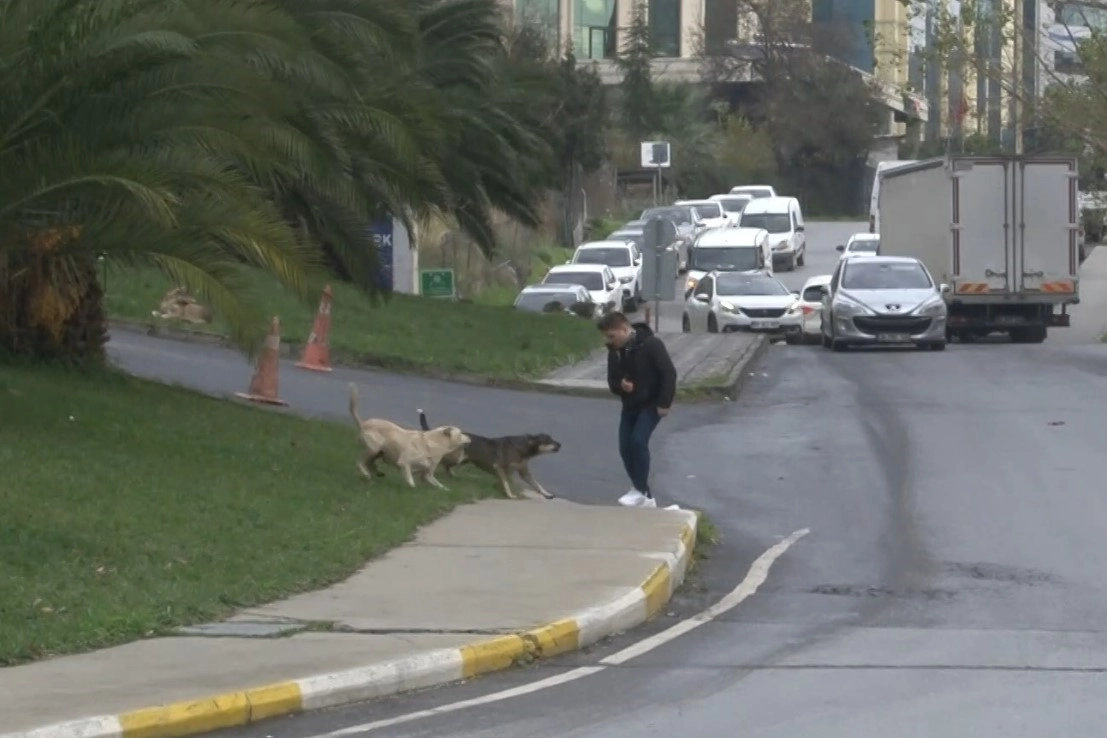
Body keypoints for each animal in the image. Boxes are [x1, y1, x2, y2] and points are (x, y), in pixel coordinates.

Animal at [418, 409, 566, 502]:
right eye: (548, 441)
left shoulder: (524, 472)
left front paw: (546, 494)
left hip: (462, 459)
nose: (560, 444)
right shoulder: (499, 467)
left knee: (447, 467)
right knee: (443, 463)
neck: (524, 448)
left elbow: (537, 485)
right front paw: (510, 495)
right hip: (456, 457)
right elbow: (506, 483)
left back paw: (452, 475)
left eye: (552, 439)